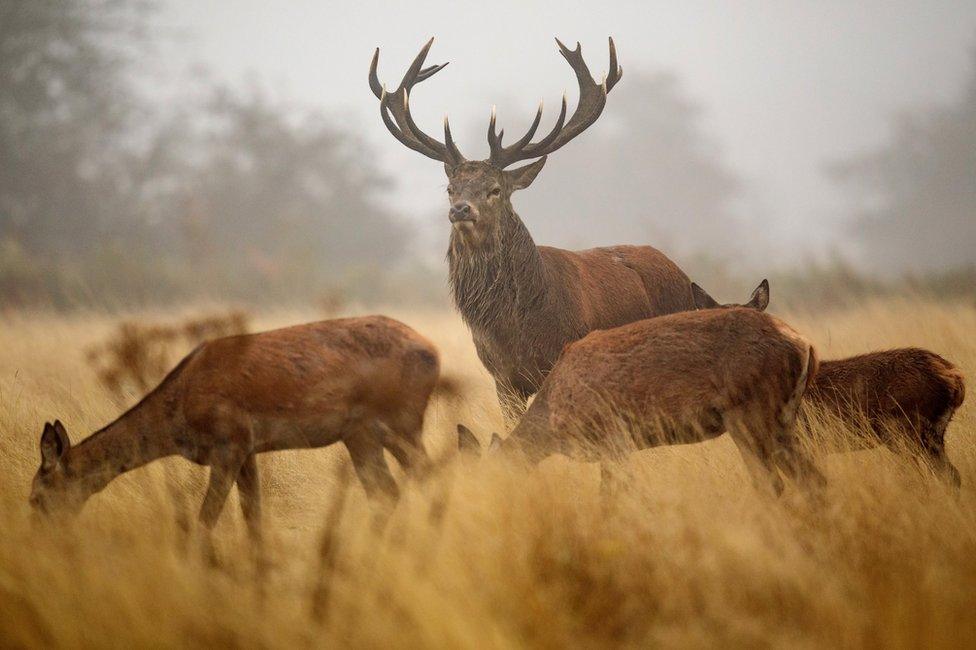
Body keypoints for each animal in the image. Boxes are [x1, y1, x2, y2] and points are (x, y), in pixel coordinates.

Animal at [27, 316, 446, 540]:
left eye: (36, 495)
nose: (39, 537)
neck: (178, 417)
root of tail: (434, 352)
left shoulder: (230, 442)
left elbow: (205, 520)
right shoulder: (248, 450)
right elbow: (253, 518)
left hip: (400, 420)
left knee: (423, 476)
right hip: (360, 435)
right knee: (389, 489)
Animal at [370, 38, 696, 420]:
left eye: (495, 189)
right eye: (451, 188)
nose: (460, 209)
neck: (518, 329)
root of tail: (684, 276)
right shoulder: (503, 379)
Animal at [458, 306, 824, 494]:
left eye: (488, 481)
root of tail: (805, 345)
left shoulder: (613, 437)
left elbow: (614, 497)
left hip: (750, 410)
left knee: (773, 484)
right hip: (783, 418)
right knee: (813, 480)